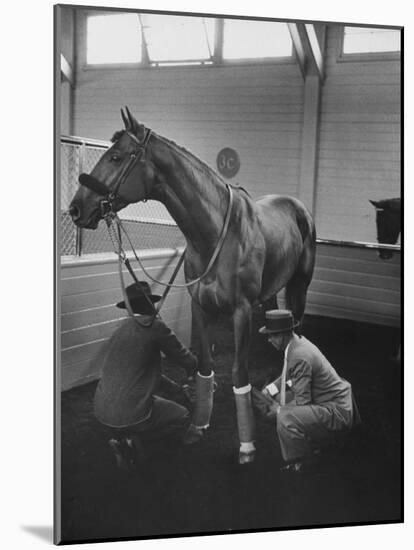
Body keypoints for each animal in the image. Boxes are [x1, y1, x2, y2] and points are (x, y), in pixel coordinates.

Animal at [69, 108, 316, 466]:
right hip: (271, 291)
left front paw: (246, 446)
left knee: (295, 328)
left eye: (115, 156)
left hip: (300, 284)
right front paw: (198, 426)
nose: (76, 208)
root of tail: (298, 206)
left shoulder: (241, 312)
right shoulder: (200, 307)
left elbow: (239, 374)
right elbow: (204, 366)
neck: (215, 233)